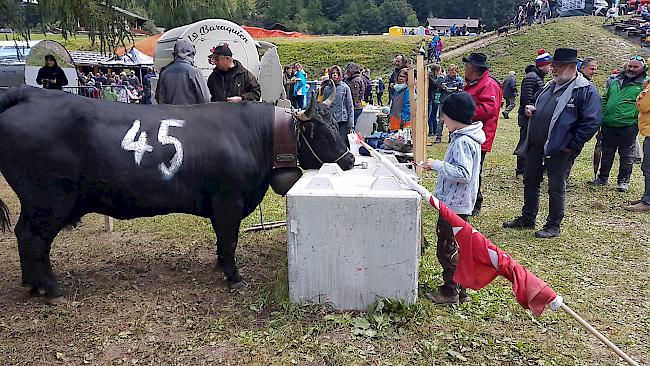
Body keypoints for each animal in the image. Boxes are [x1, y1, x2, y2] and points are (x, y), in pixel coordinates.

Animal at [0, 86, 354, 300]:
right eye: (322, 132)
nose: (350, 160)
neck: (253, 136)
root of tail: (29, 94)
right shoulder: (229, 202)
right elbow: (230, 239)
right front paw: (234, 277)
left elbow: (222, 240)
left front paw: (220, 265)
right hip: (50, 201)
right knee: (35, 241)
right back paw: (51, 289)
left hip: (36, 204)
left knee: (22, 235)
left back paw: (31, 284)